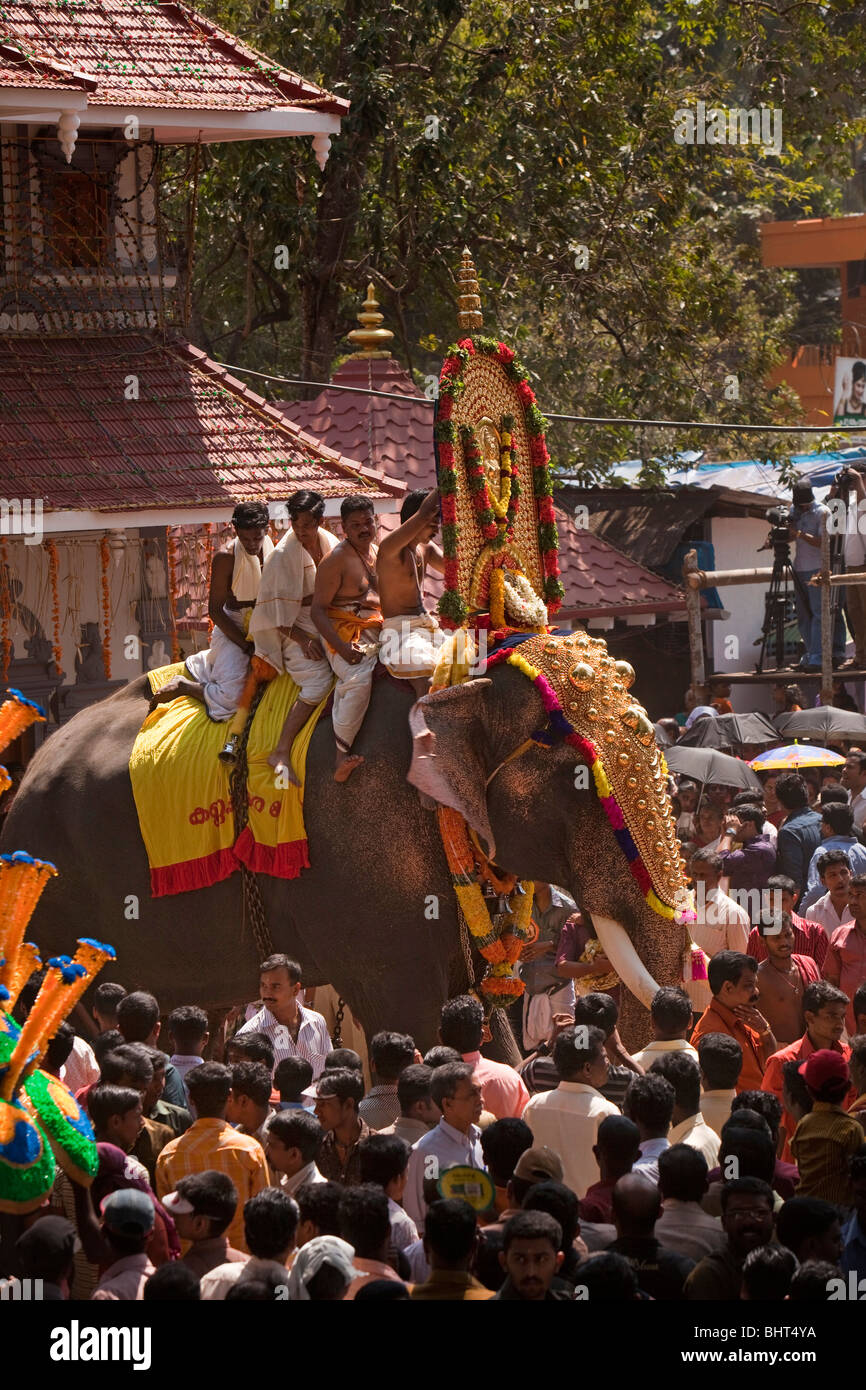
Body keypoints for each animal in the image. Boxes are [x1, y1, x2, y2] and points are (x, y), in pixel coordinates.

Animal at [1, 636, 692, 1045]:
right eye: (581, 781)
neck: (453, 683)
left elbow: (480, 1008)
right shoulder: (362, 859)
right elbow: (406, 1015)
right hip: (52, 898)